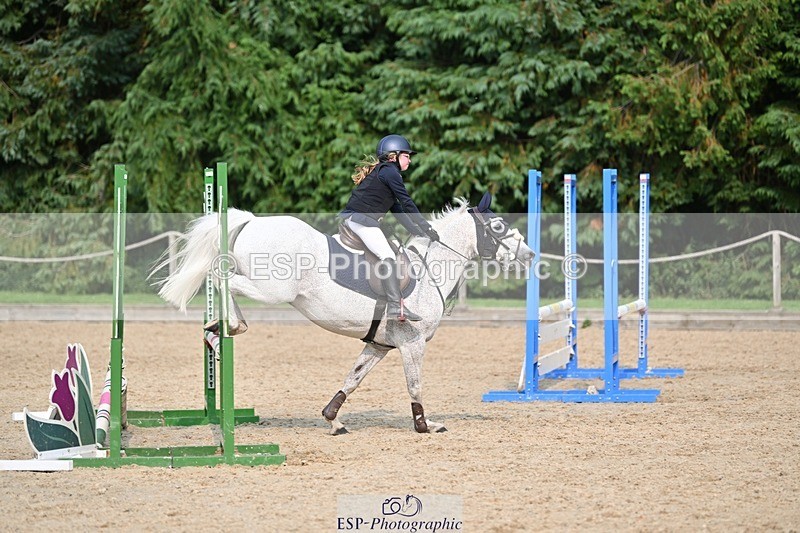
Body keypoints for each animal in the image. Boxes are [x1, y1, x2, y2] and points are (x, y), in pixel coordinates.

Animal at [155, 192, 534, 434]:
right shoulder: (412, 345)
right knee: (224, 279)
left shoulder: (380, 345)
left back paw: (216, 331)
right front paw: (424, 425)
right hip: (273, 290)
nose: (529, 255)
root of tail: (251, 222)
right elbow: (414, 385)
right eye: (498, 227)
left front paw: (333, 420)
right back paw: (230, 325)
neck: (430, 271)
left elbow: (353, 379)